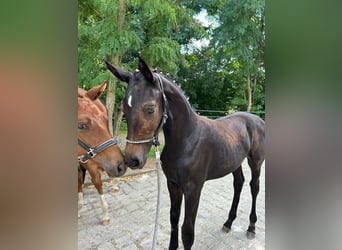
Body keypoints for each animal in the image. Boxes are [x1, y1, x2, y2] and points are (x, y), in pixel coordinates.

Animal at [78, 81, 126, 225]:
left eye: (105, 120)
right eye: (81, 125)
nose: (121, 166)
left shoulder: (89, 162)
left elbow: (97, 182)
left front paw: (105, 214)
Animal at [105, 57, 266, 249]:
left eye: (150, 109)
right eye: (124, 107)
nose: (132, 160)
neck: (187, 140)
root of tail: (258, 119)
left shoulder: (194, 188)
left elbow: (187, 231)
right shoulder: (173, 184)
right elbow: (173, 219)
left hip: (255, 162)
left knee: (254, 187)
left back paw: (251, 227)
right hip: (234, 161)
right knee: (238, 183)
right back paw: (228, 223)